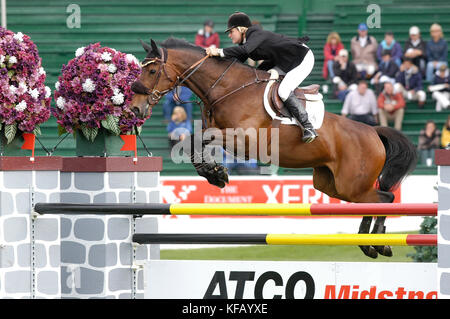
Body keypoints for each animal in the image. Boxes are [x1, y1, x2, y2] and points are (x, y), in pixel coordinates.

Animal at [130, 38, 418, 260]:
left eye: (152, 71)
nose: (134, 108)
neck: (227, 87)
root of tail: (373, 132)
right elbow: (194, 142)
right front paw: (215, 174)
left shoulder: (244, 141)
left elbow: (197, 139)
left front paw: (216, 173)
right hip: (333, 185)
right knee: (373, 200)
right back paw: (370, 244)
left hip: (352, 184)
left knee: (386, 198)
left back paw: (377, 245)